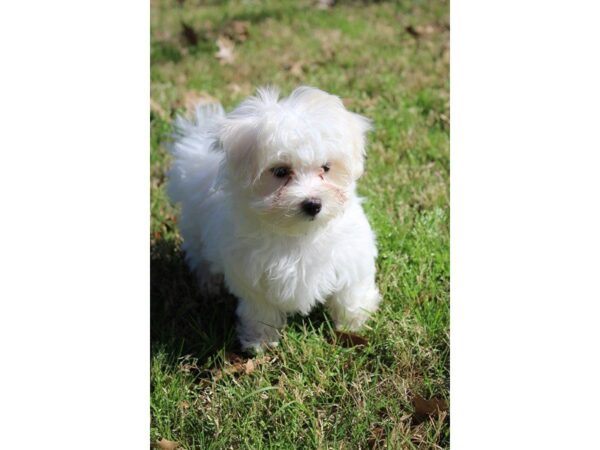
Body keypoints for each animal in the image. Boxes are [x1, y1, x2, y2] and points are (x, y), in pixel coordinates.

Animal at [166, 85, 380, 352]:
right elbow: (261, 310)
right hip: (196, 231)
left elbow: (350, 290)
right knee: (200, 257)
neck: (299, 234)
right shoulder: (252, 275)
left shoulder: (351, 256)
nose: (313, 204)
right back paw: (208, 285)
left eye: (326, 168)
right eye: (280, 171)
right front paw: (261, 341)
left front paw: (355, 320)